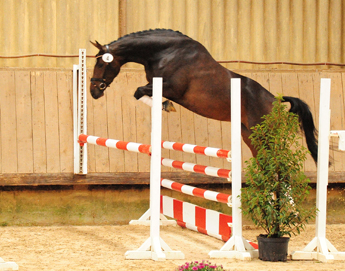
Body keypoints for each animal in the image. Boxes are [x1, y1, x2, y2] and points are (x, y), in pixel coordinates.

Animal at [89, 28, 318, 163]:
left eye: (101, 62)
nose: (93, 91)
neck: (165, 52)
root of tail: (275, 101)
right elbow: (140, 93)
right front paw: (164, 106)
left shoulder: (171, 88)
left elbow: (138, 91)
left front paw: (166, 105)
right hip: (249, 134)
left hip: (262, 133)